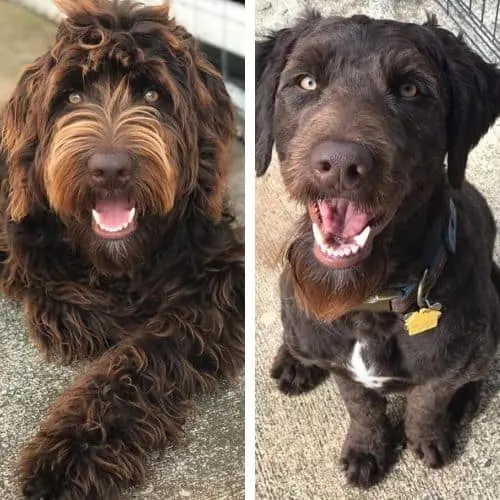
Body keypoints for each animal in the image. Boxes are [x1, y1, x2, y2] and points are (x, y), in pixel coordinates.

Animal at [0, 1, 244, 498]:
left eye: (152, 94)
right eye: (71, 98)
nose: (109, 169)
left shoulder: (220, 275)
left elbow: (148, 348)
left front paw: (72, 453)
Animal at [258, 10, 500, 488]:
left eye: (410, 89)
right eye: (306, 82)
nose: (339, 165)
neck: (369, 302)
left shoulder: (446, 367)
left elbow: (428, 400)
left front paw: (427, 434)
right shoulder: (344, 368)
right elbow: (362, 407)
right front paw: (367, 447)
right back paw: (294, 359)